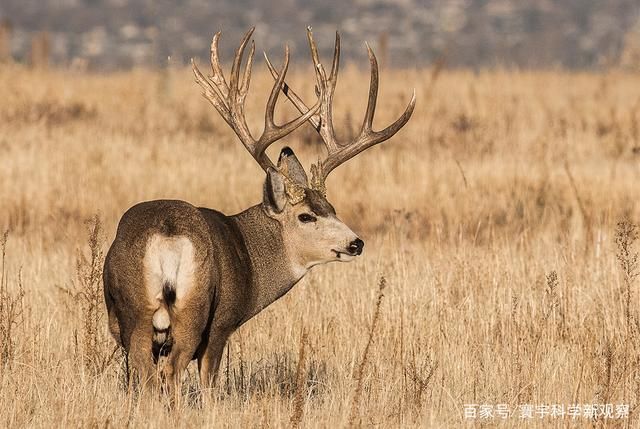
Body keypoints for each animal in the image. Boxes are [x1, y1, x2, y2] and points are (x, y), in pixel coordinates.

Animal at [104, 27, 416, 392]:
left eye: (332, 207)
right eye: (306, 215)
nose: (356, 243)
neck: (250, 257)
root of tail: (167, 235)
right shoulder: (222, 324)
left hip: (133, 313)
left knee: (144, 373)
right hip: (195, 312)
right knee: (172, 373)